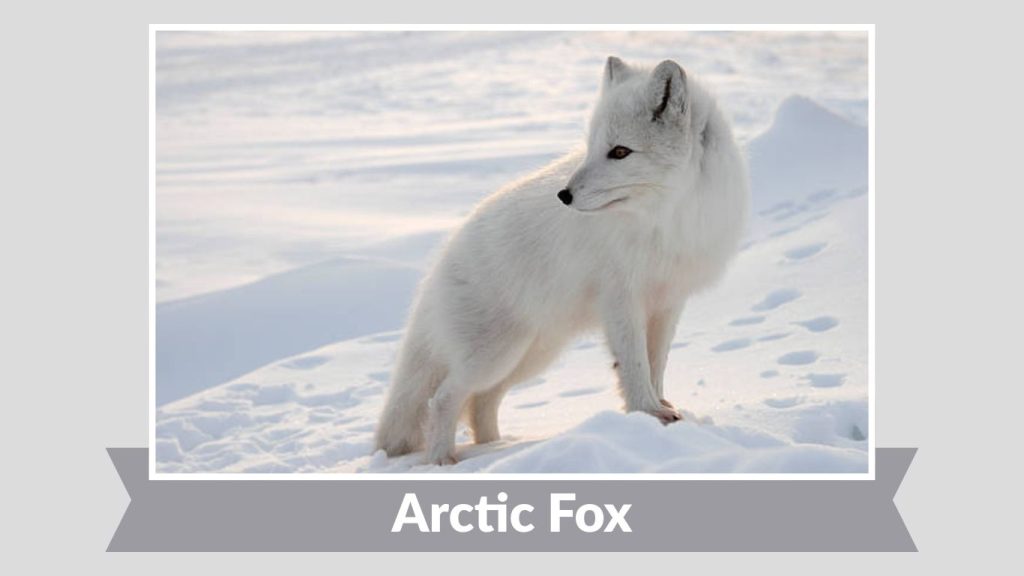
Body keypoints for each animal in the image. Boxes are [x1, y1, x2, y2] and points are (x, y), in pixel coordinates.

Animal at [375, 56, 749, 465]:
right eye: (591, 147)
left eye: (620, 152)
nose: (564, 195)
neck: (664, 219)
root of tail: (440, 263)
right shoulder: (620, 300)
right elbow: (635, 364)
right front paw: (646, 413)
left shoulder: (667, 301)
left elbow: (656, 362)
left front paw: (661, 410)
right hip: (495, 356)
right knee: (444, 398)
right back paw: (444, 460)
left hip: (531, 355)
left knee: (480, 403)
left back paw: (494, 448)